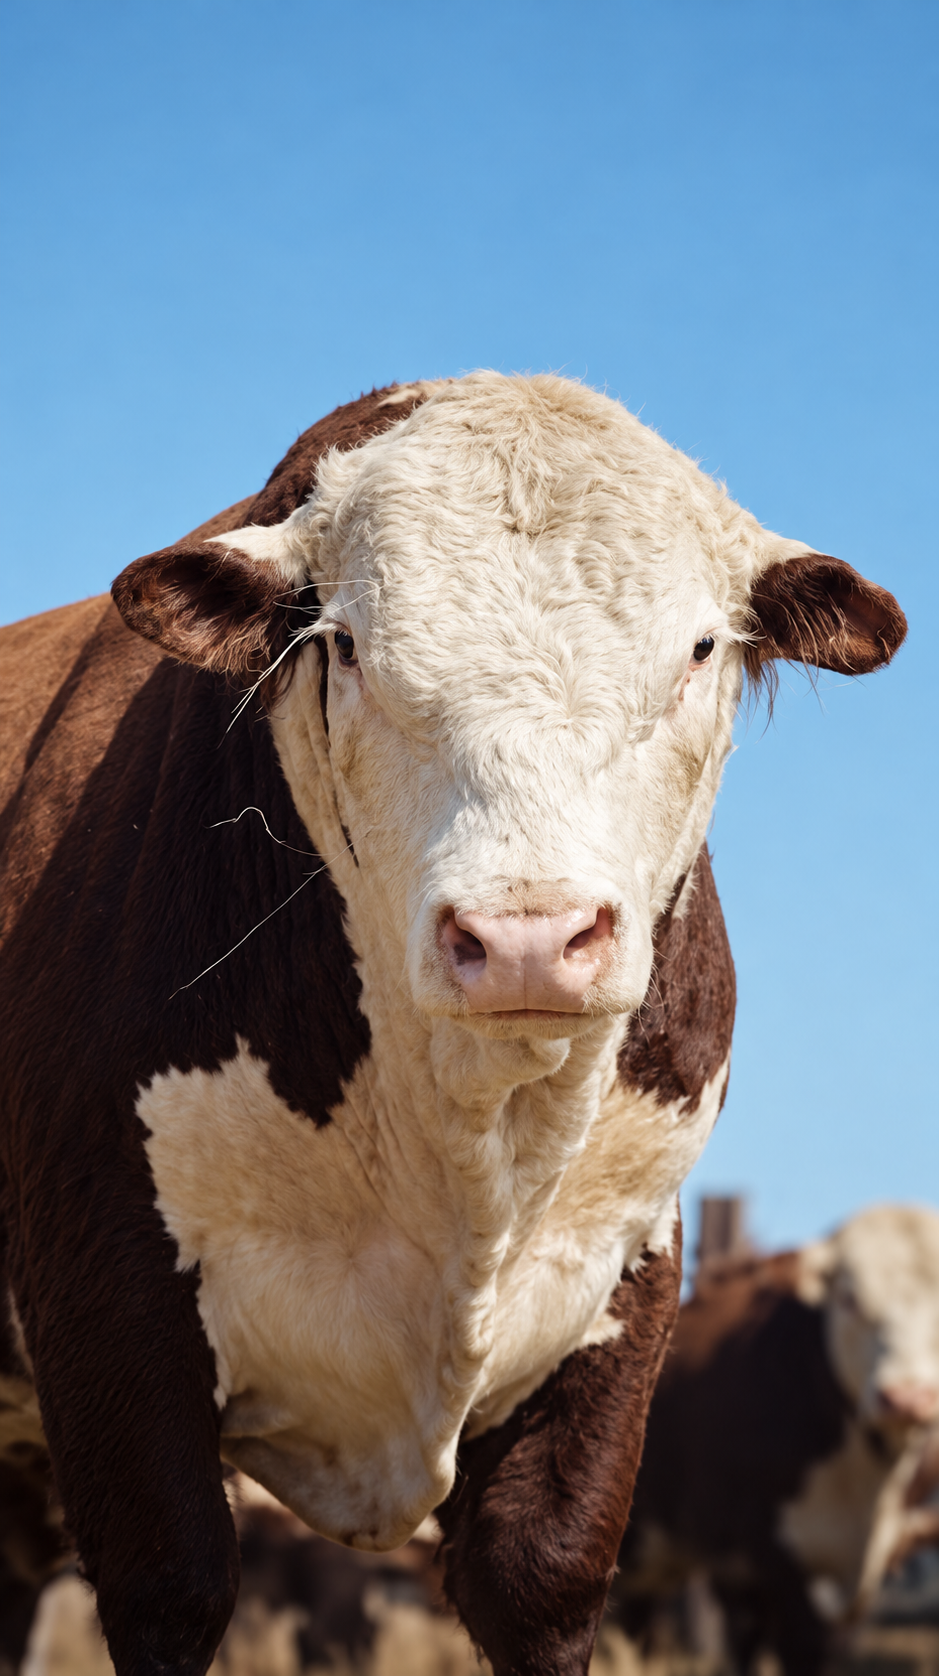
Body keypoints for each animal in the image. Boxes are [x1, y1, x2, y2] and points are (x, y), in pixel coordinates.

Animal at [0, 373, 906, 1676]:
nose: (528, 935)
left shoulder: (623, 1289)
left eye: (697, 649)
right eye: (345, 644)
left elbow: (542, 1569)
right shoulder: (111, 1301)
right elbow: (173, 1581)